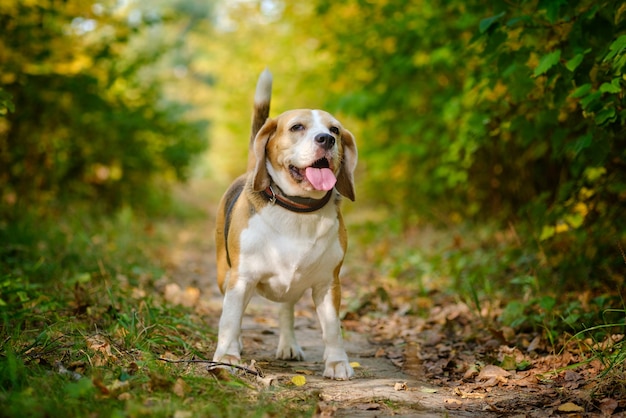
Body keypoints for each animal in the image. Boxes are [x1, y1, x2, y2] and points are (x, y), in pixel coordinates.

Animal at [212, 70, 356, 380]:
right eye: (297, 127)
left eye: (336, 130)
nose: (326, 139)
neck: (298, 210)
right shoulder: (241, 279)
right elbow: (230, 320)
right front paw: (227, 357)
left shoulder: (329, 283)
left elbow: (332, 329)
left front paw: (337, 363)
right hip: (224, 275)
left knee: (286, 308)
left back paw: (289, 344)